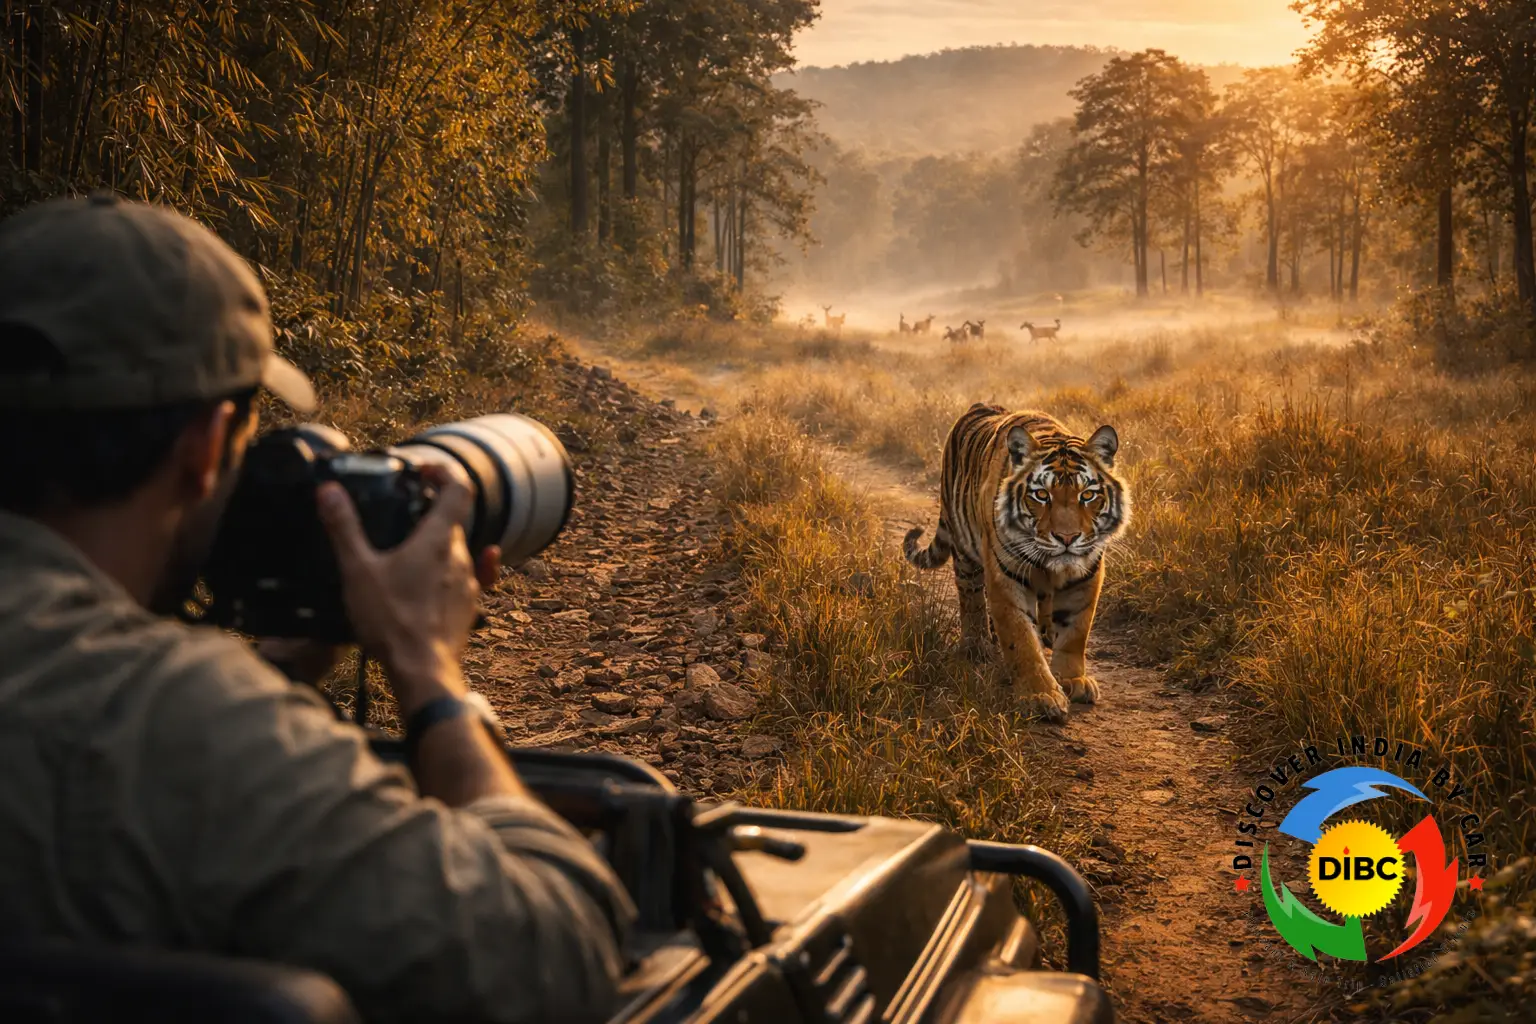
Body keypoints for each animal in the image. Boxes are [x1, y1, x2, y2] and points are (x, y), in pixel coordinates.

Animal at [904, 404, 1130, 722]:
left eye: (1087, 495)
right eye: (1041, 495)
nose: (1067, 537)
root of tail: (979, 406)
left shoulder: (1085, 575)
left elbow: (1075, 631)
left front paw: (1072, 679)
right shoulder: (1006, 577)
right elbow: (1021, 640)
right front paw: (1041, 696)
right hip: (964, 552)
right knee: (972, 599)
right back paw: (976, 646)